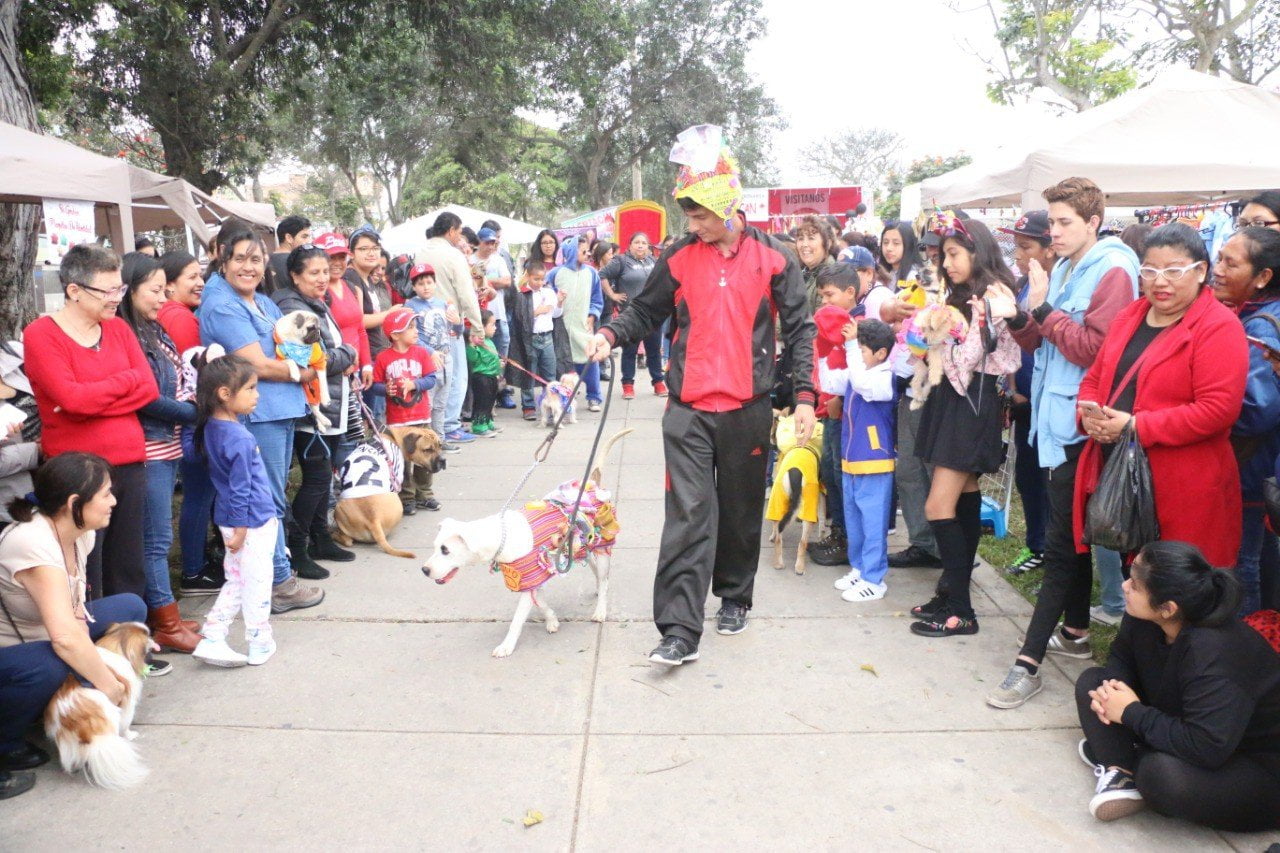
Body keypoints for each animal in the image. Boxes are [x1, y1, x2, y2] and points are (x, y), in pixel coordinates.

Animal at [44, 617, 152, 788]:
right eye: (147, 636)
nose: (153, 638)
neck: (116, 644)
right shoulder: (127, 706)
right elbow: (126, 725)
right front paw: (130, 735)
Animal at [335, 425, 445, 558]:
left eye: (440, 445)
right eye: (428, 450)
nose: (443, 460)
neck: (394, 437)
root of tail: (373, 520)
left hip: (339, 509)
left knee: (348, 540)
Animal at [422, 427, 632, 653]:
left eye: (445, 550)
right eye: (435, 547)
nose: (424, 570)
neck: (501, 535)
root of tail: (592, 483)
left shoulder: (529, 580)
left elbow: (516, 621)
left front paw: (506, 646)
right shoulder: (532, 581)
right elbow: (542, 605)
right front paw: (552, 621)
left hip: (603, 545)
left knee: (604, 578)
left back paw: (600, 609)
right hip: (585, 546)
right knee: (596, 570)